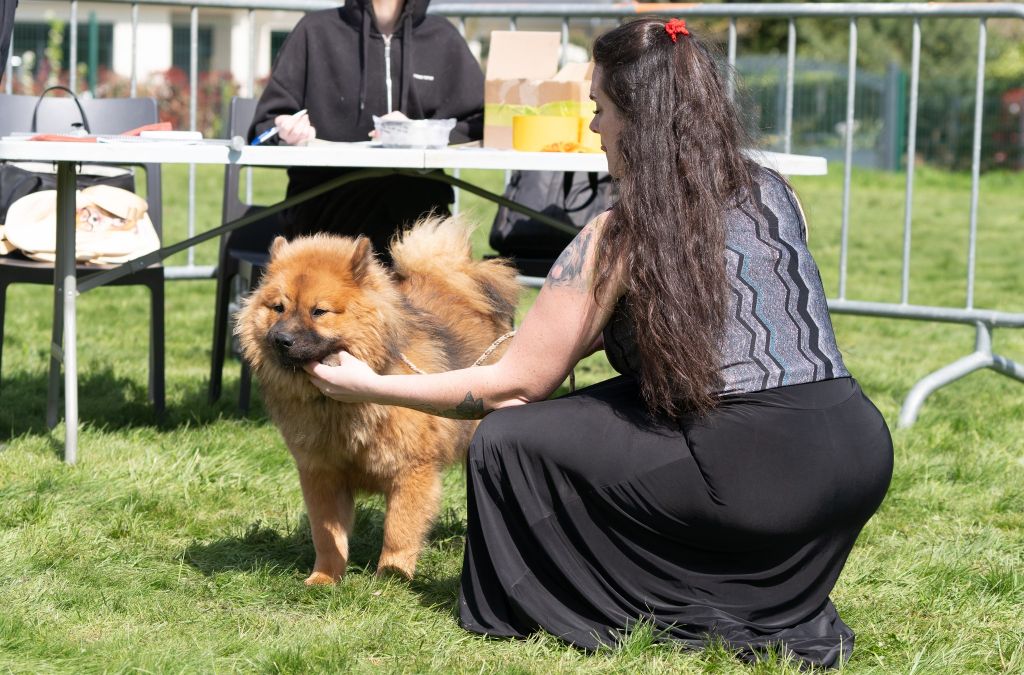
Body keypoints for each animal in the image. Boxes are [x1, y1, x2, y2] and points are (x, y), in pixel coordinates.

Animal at [235, 218, 516, 585]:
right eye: (278, 308)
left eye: (319, 311)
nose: (281, 339)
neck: (337, 408)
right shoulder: (321, 473)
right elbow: (327, 535)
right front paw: (324, 578)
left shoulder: (412, 471)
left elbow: (399, 531)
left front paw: (391, 579)